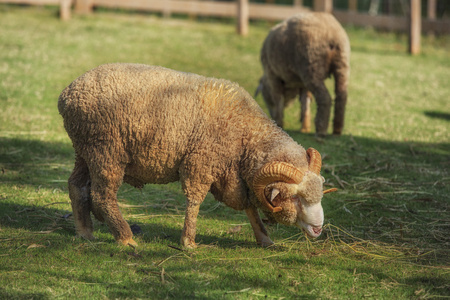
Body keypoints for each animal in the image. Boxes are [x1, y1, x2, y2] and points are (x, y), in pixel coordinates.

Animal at [58, 63, 336, 248]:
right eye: (295, 197)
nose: (318, 229)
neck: (247, 135)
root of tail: (67, 94)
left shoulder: (237, 176)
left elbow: (249, 207)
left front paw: (265, 238)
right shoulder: (200, 163)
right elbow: (195, 201)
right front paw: (188, 242)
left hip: (85, 150)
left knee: (76, 186)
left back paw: (85, 232)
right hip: (107, 151)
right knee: (102, 194)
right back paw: (125, 238)